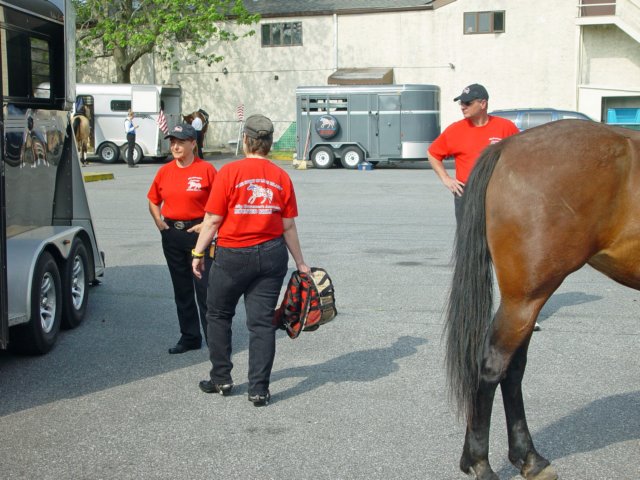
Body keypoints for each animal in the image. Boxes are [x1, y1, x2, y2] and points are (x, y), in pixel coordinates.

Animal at [444, 119, 640, 480]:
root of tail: (507, 147)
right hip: (525, 298)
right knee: (494, 365)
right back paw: (480, 463)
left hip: (527, 302)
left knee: (513, 368)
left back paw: (529, 458)